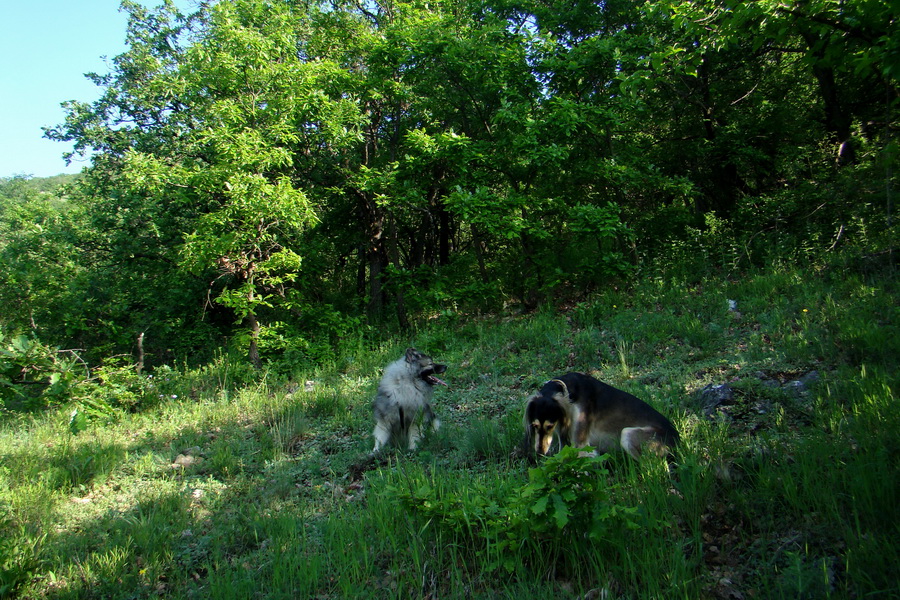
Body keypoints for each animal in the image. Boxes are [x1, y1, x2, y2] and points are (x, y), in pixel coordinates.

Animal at [524, 370, 680, 460]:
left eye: (549, 426)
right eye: (535, 425)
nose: (539, 452)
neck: (568, 391)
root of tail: (677, 439)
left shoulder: (580, 442)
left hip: (628, 434)